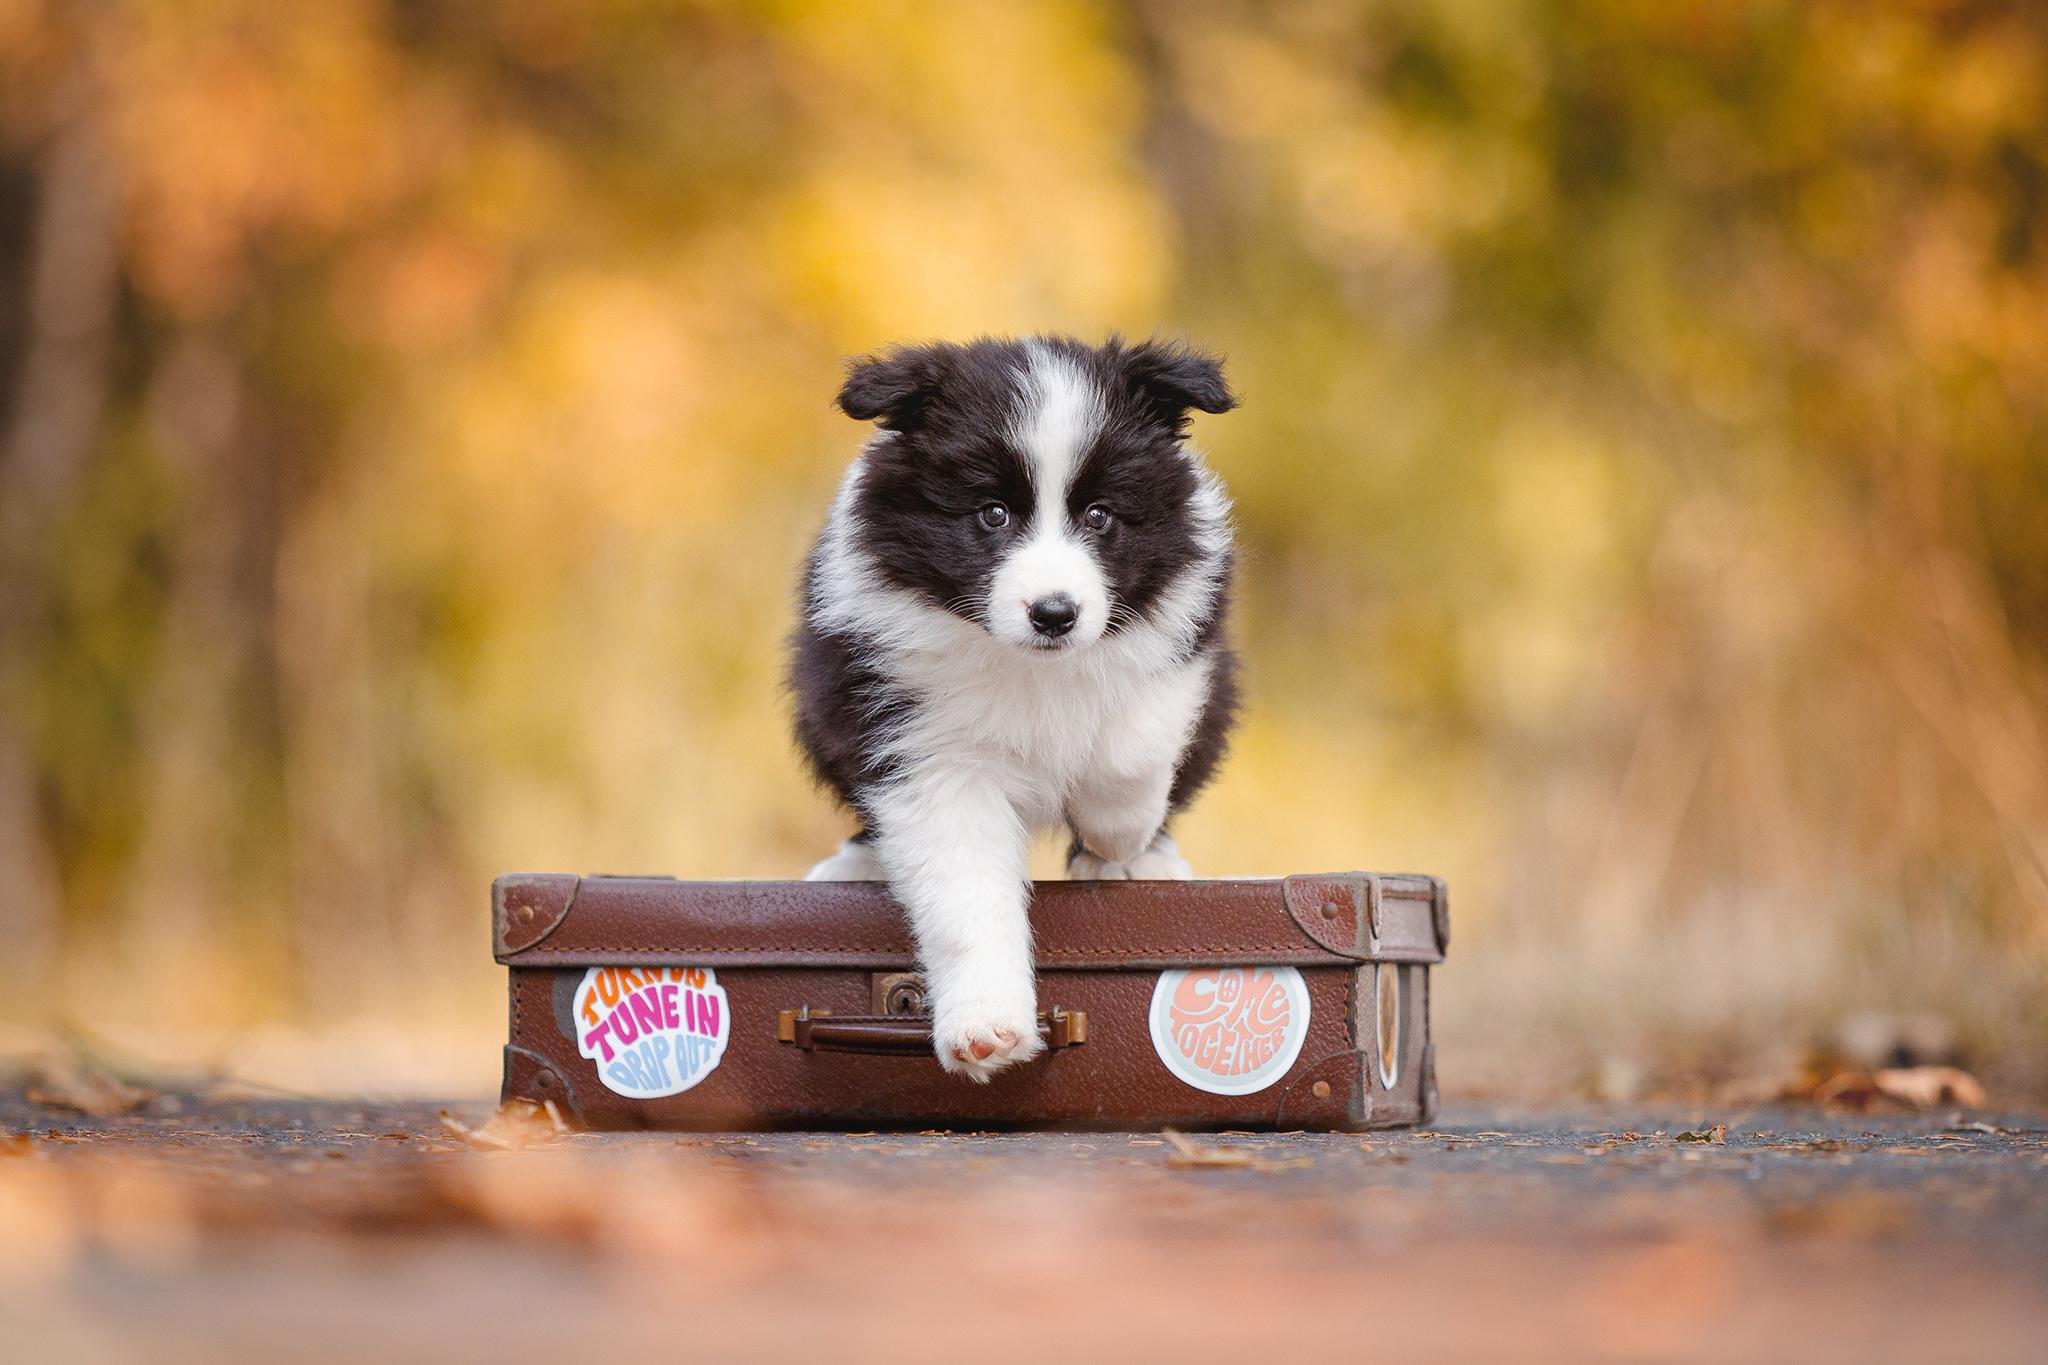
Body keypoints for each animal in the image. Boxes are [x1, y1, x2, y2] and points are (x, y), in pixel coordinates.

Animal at [782, 335, 1228, 1080]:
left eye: (1100, 515)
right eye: (992, 513)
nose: (1054, 613)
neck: (1030, 663)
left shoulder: (1186, 625)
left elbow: (1131, 738)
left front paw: (1117, 836)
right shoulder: (923, 747)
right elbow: (966, 889)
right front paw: (986, 1028)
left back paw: (1140, 861)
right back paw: (856, 865)